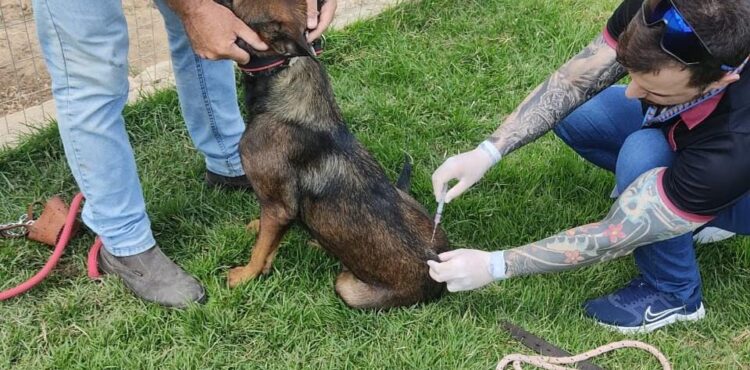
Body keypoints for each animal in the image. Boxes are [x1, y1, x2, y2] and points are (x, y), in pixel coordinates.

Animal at [220, 0, 450, 310]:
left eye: (234, 4)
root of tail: (440, 276)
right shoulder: (279, 209)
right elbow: (268, 241)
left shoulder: (279, 207)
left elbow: (260, 249)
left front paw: (245, 276)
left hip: (348, 288)